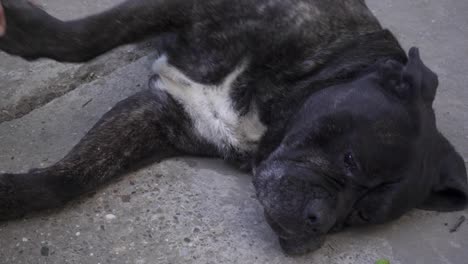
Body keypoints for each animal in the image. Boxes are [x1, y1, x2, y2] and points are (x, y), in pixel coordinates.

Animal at [0, 0, 468, 256]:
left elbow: (75, 175)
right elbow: (90, 36)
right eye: (350, 158)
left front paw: (15, 195)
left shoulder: (161, 117)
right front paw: (25, 32)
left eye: (360, 216)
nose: (320, 221)